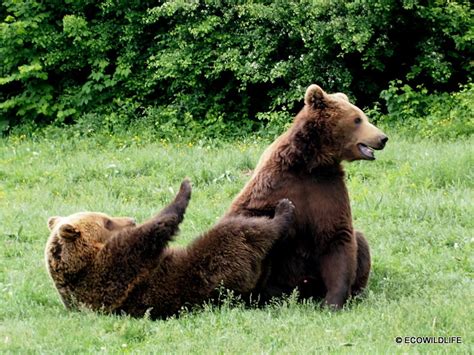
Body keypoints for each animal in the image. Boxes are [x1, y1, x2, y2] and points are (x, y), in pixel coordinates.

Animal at [46, 181, 294, 320]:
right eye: (106, 221)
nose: (131, 220)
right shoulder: (111, 273)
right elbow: (150, 234)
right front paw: (184, 188)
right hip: (216, 268)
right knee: (239, 234)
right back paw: (282, 211)